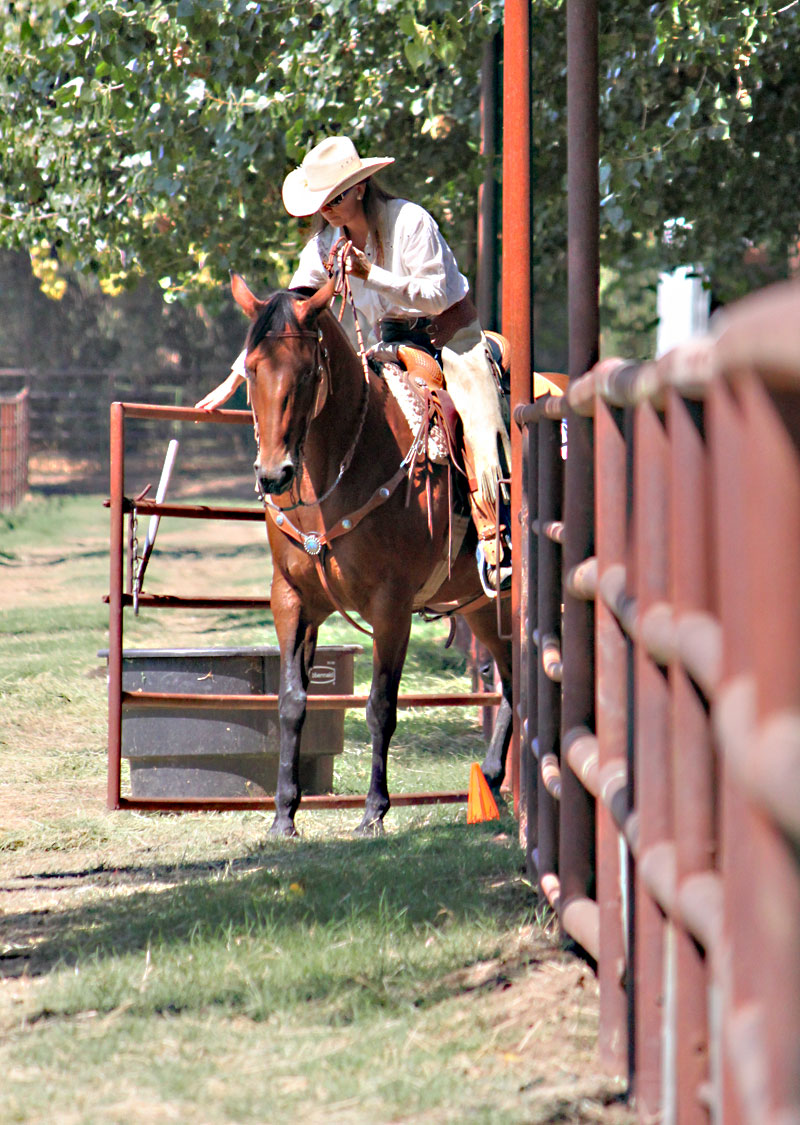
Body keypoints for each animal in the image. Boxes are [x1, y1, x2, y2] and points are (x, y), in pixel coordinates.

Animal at [229, 272, 513, 837]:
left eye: (308, 372)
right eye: (250, 369)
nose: (273, 475)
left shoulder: (392, 606)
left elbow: (381, 705)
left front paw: (374, 811)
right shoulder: (291, 598)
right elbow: (292, 703)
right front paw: (284, 815)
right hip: (481, 605)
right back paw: (492, 781)